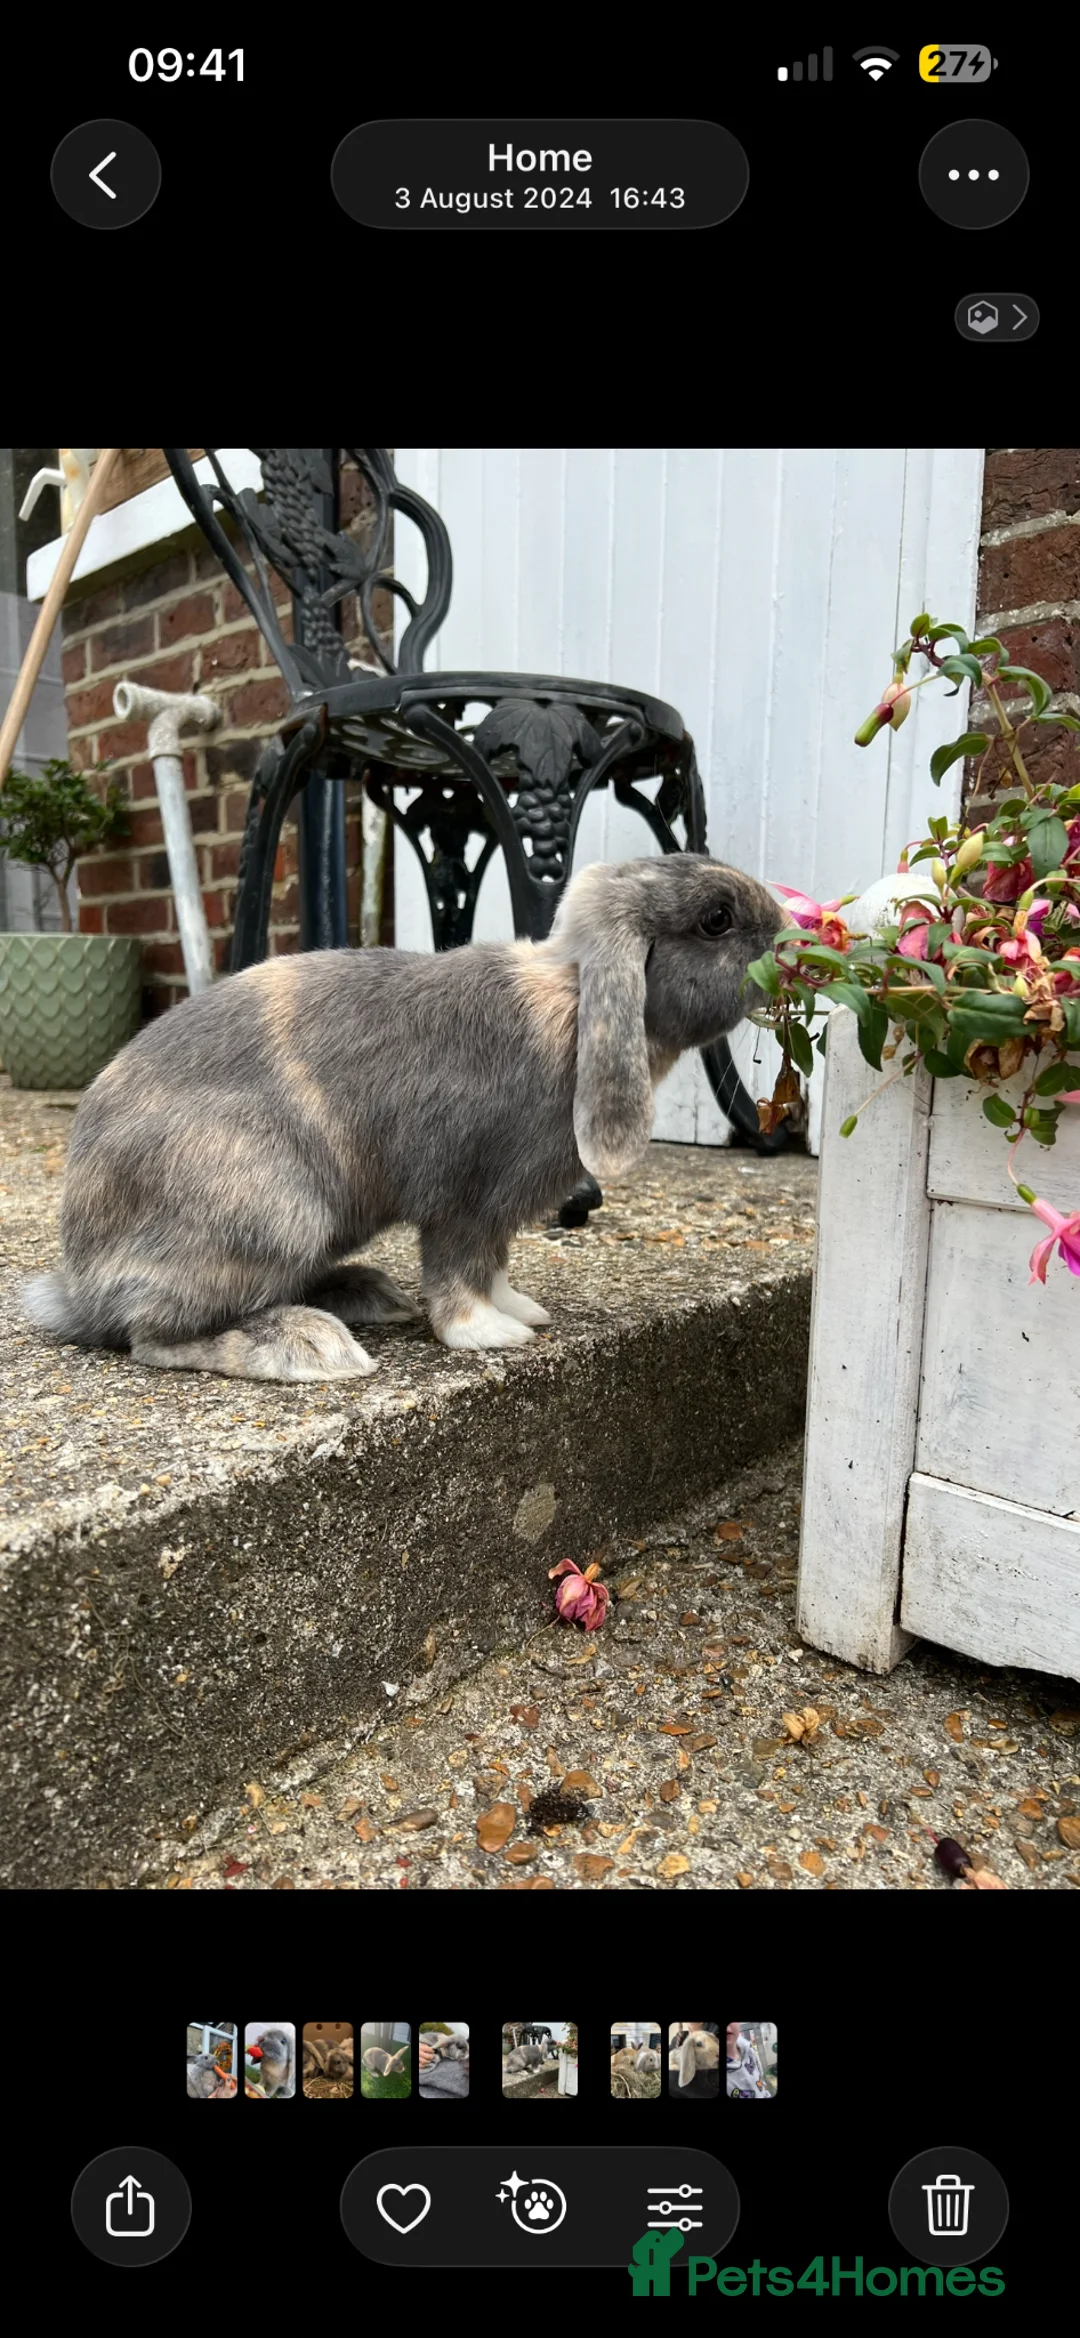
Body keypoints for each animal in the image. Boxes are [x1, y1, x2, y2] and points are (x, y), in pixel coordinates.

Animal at [23, 854, 782, 1383]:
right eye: (717, 919)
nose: (789, 930)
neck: (572, 1003)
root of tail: (81, 1283)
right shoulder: (464, 1198)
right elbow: (459, 1270)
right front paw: (487, 1334)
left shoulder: (496, 1213)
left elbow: (495, 1265)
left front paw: (519, 1310)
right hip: (273, 1210)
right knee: (154, 1336)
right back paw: (306, 1347)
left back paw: (365, 1294)